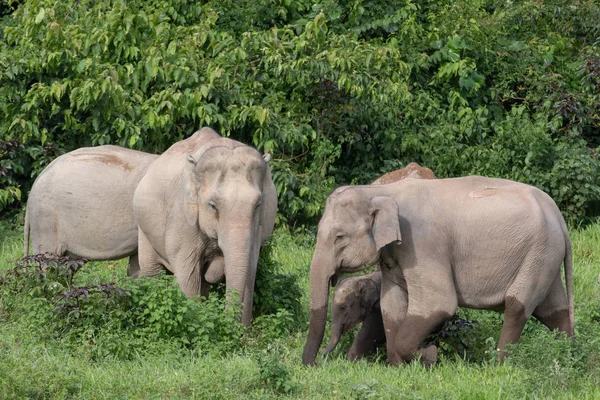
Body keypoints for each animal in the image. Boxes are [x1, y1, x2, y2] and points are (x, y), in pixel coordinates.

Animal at [132, 126, 278, 326]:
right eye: (213, 206)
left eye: (258, 205)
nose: (228, 324)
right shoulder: (182, 219)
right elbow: (187, 272)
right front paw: (195, 320)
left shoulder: (258, 227)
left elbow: (250, 269)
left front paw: (242, 331)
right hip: (144, 229)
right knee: (153, 271)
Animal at [302, 177, 576, 368]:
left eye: (339, 237)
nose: (313, 364)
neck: (383, 191)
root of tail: (559, 217)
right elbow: (391, 304)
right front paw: (399, 367)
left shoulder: (422, 244)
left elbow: (439, 303)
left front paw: (430, 355)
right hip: (545, 256)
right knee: (554, 310)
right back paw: (568, 357)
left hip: (539, 251)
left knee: (517, 305)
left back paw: (500, 366)